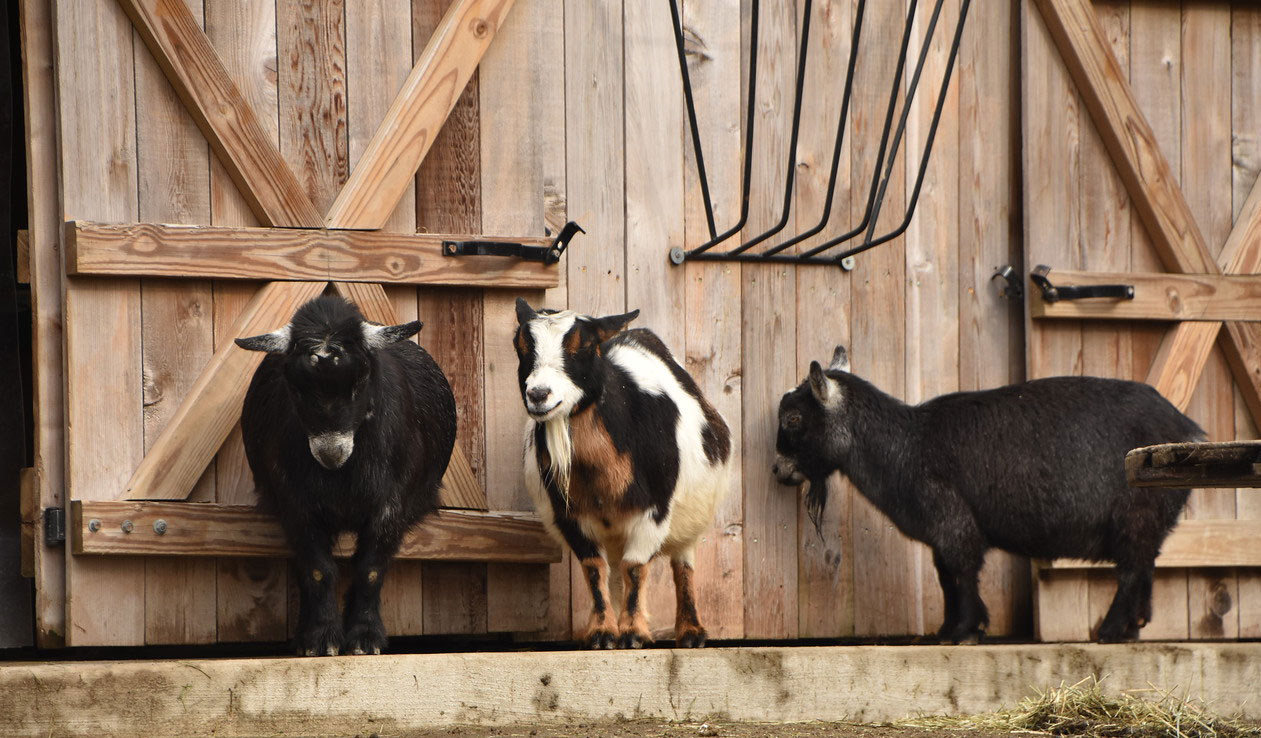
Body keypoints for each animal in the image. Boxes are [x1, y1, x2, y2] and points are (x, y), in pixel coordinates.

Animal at [234, 296, 456, 650]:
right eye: (295, 387)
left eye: (361, 381)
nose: (331, 453)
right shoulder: (294, 504)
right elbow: (318, 569)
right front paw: (320, 638)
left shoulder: (393, 503)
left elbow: (370, 568)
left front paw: (365, 637)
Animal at [509, 297, 731, 645]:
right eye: (520, 345)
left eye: (584, 346)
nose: (538, 394)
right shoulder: (568, 515)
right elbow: (594, 567)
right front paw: (602, 632)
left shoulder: (655, 510)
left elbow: (636, 567)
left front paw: (633, 633)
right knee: (613, 570)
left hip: (691, 522)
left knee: (682, 566)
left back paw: (691, 632)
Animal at [771, 345, 1205, 638]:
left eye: (793, 418)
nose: (777, 469)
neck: (909, 444)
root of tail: (1189, 428)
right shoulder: (943, 532)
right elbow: (946, 576)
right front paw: (955, 628)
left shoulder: (952, 521)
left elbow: (960, 572)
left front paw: (963, 629)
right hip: (1150, 518)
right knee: (1144, 564)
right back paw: (1133, 626)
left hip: (1137, 512)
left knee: (1131, 568)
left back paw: (1111, 630)